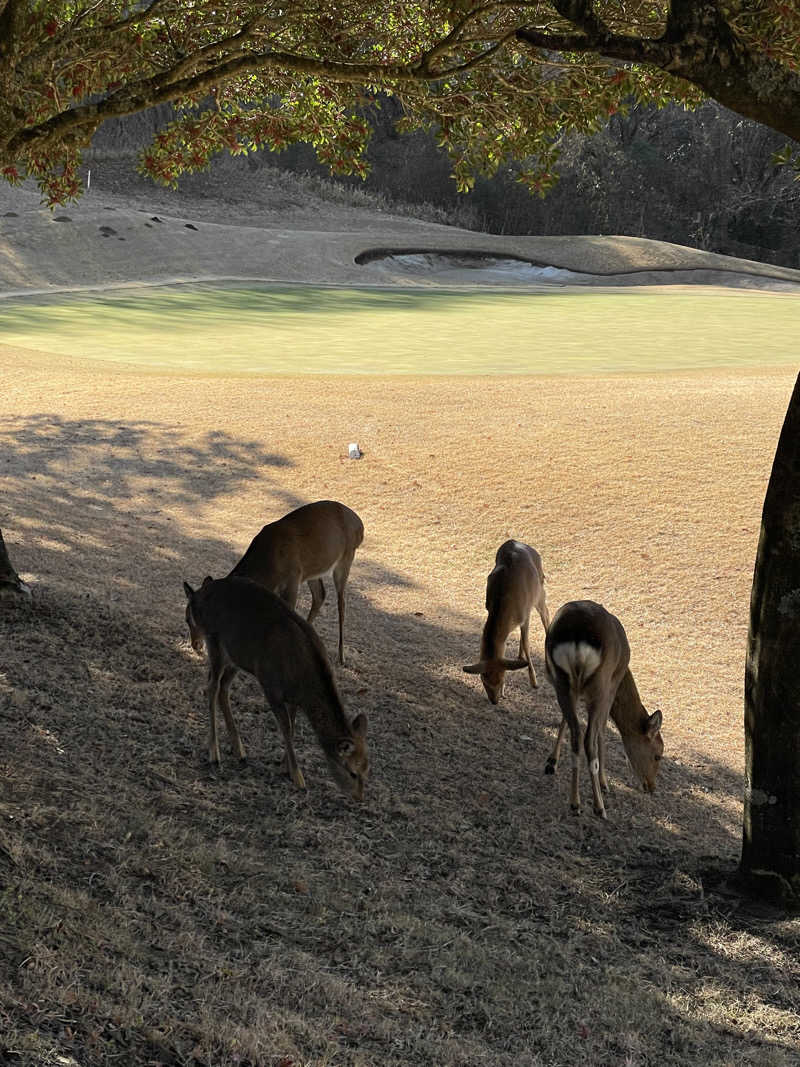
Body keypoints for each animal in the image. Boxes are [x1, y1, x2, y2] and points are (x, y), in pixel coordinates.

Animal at [183, 576, 369, 802]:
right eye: (352, 772)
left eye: (367, 769)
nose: (359, 797)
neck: (303, 682)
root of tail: (198, 595)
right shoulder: (271, 686)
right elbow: (286, 728)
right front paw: (298, 778)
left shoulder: (293, 699)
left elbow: (293, 727)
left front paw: (284, 766)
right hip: (214, 641)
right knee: (211, 687)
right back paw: (214, 753)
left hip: (237, 657)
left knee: (223, 688)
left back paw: (240, 750)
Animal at [230, 495, 364, 661]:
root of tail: (360, 525)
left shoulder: (292, 579)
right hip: (312, 570)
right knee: (320, 594)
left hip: (346, 558)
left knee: (341, 603)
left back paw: (341, 657)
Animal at [462, 537, 550, 704]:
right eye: (483, 679)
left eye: (501, 679)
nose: (494, 701)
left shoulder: (525, 614)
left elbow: (527, 643)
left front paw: (534, 682)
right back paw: (519, 657)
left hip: (540, 591)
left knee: (546, 615)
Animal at [546, 601, 665, 815]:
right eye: (658, 755)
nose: (651, 787)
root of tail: (577, 636)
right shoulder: (611, 688)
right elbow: (602, 729)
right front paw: (604, 783)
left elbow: (564, 721)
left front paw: (552, 762)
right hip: (598, 686)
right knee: (588, 739)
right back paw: (598, 806)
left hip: (561, 680)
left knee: (576, 733)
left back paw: (575, 802)